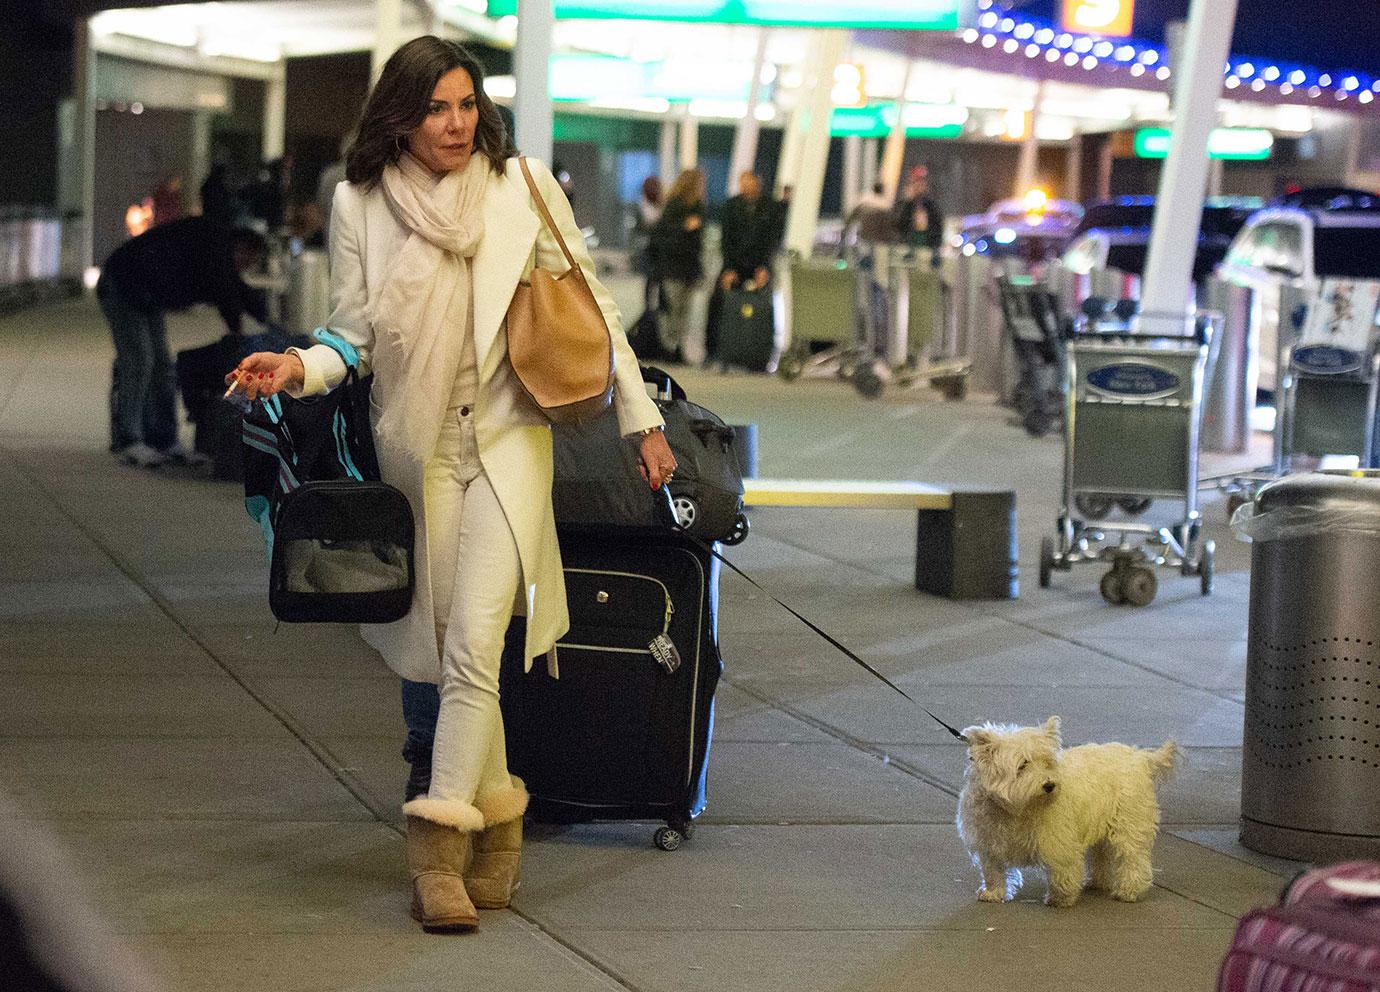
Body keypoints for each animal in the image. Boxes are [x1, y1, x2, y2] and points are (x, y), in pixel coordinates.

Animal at [960, 717, 1175, 910]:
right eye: (1022, 765)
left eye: (1047, 763)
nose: (1049, 785)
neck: (1018, 810)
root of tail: (1141, 757)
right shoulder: (989, 840)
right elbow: (993, 870)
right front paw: (993, 893)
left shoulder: (1057, 841)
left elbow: (1062, 870)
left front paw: (1061, 898)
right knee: (1102, 855)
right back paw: (1097, 882)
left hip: (1128, 823)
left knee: (1133, 857)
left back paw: (1129, 891)